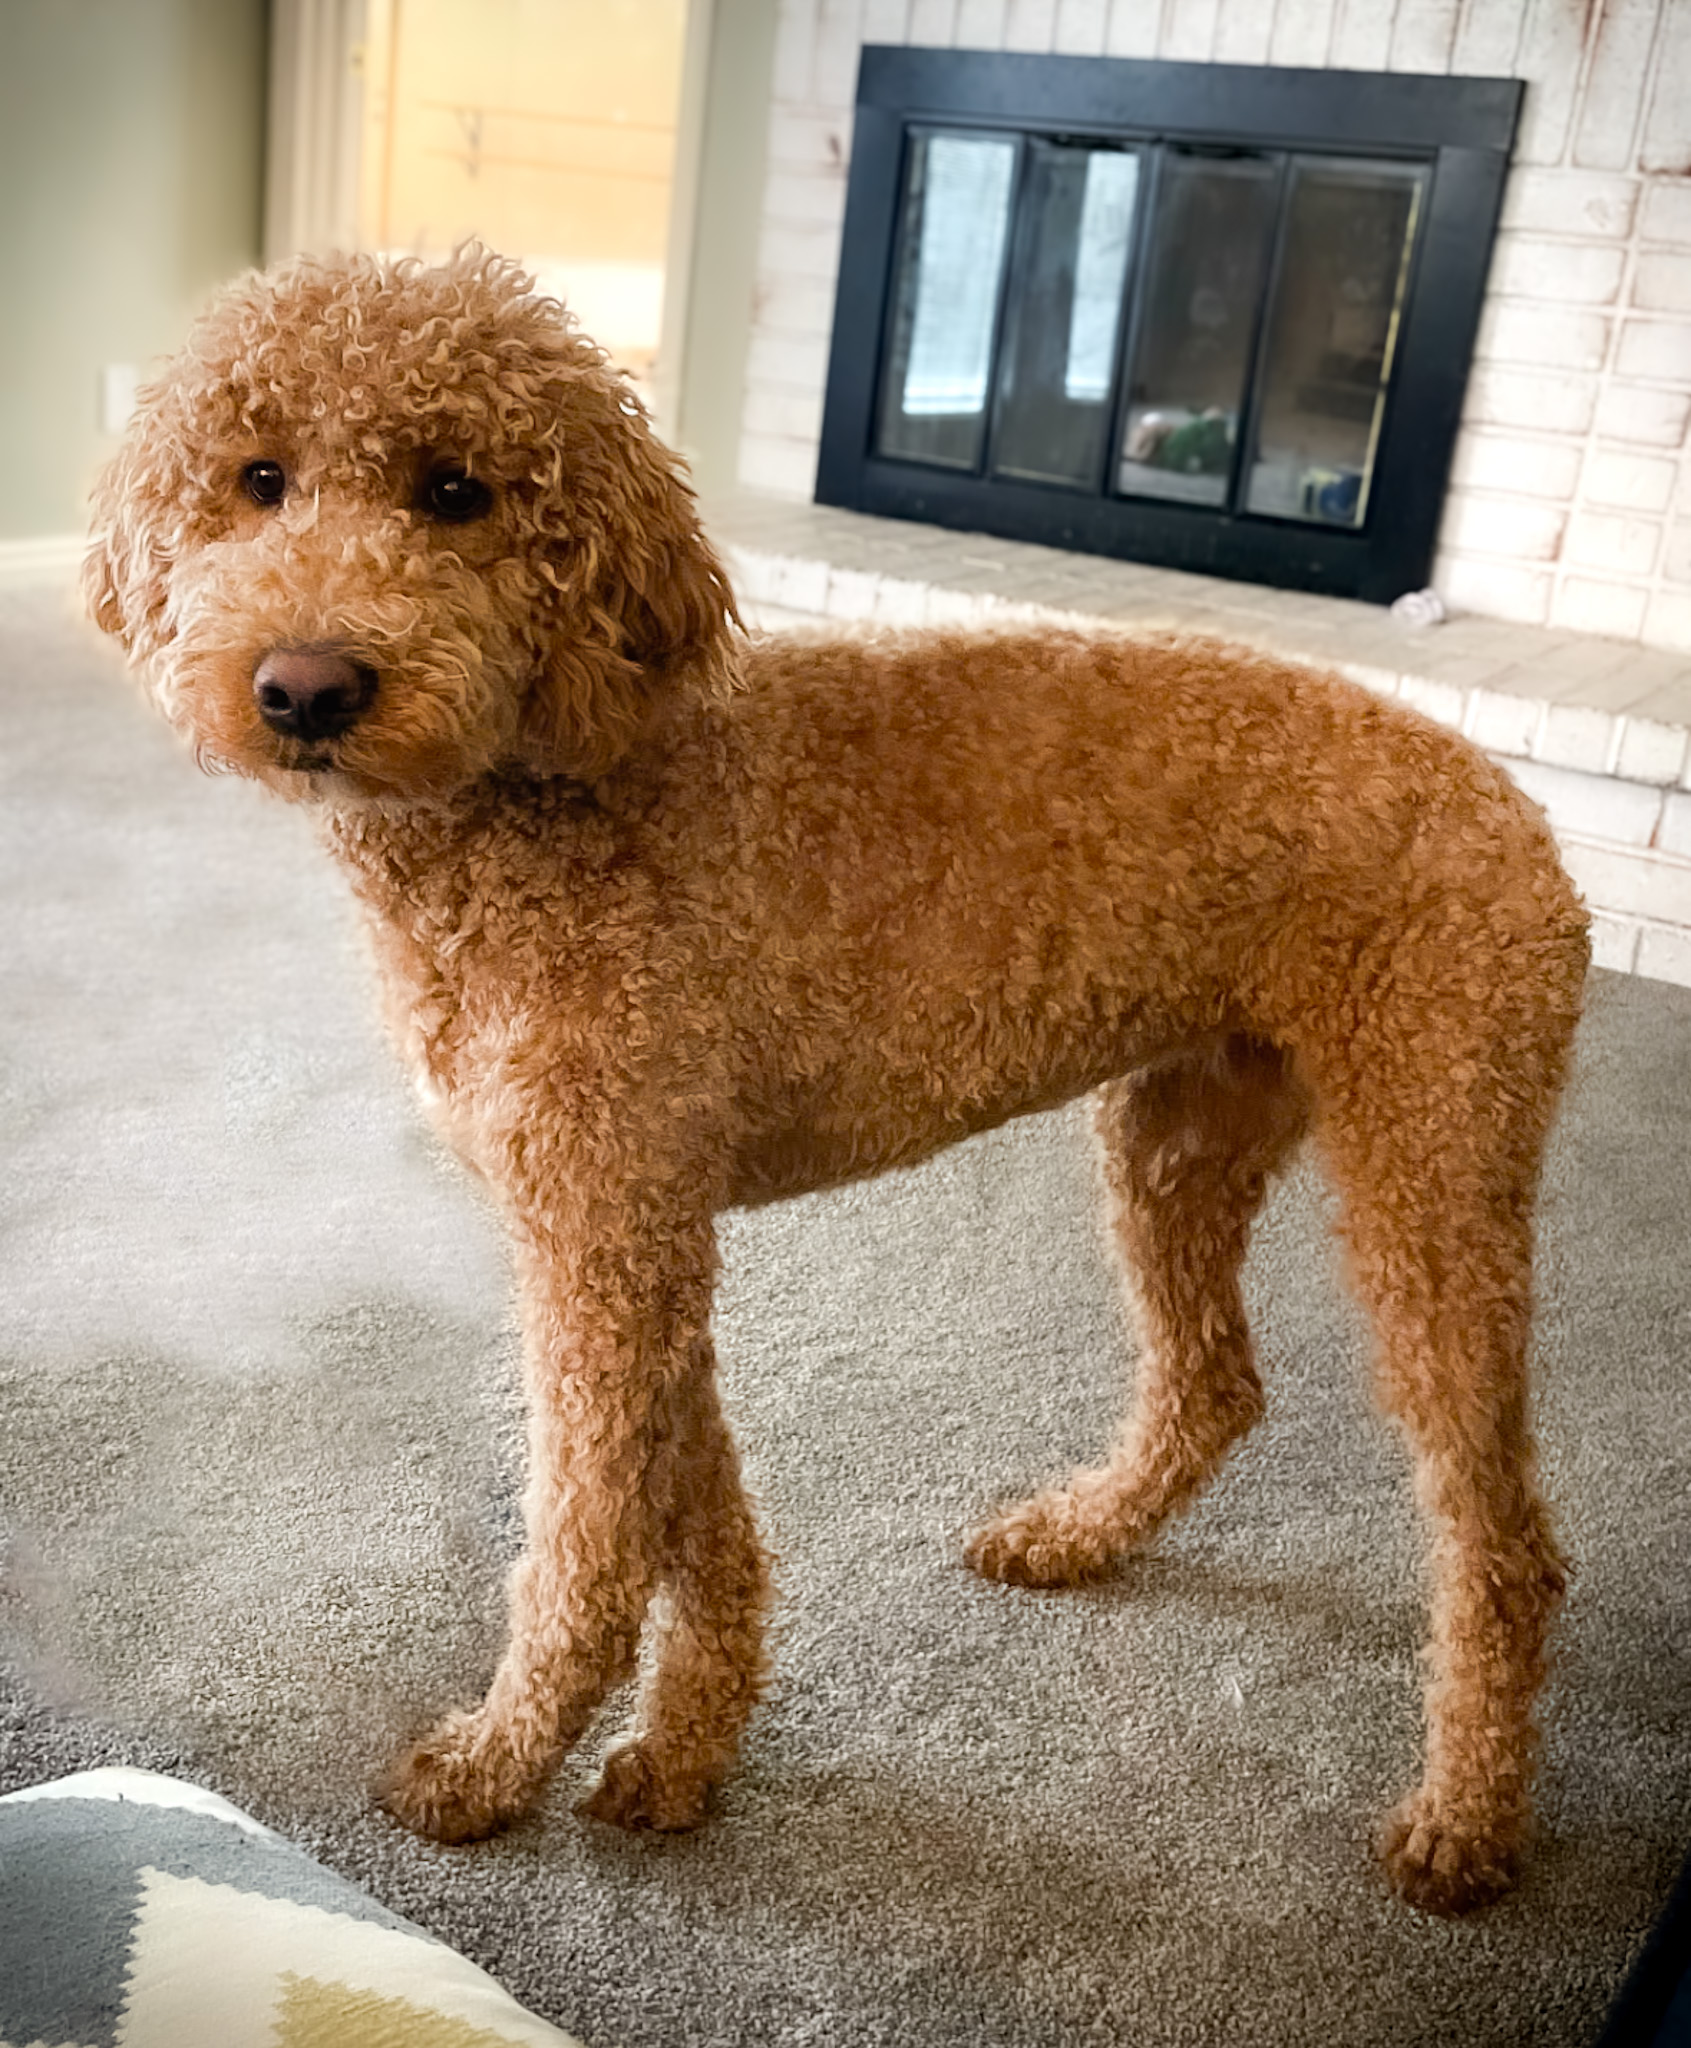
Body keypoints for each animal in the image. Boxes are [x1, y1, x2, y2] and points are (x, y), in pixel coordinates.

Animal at [85, 247, 1588, 1908]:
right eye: (256, 480)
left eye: (457, 490)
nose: (305, 687)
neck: (540, 809)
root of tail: (1517, 812)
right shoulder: (624, 1232)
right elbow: (690, 1510)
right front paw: (684, 1753)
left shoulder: (606, 1236)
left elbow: (584, 1544)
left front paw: (498, 1763)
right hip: (1178, 1135)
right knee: (1214, 1381)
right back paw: (1079, 1535)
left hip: (1429, 1179)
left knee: (1499, 1546)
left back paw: (1463, 1819)